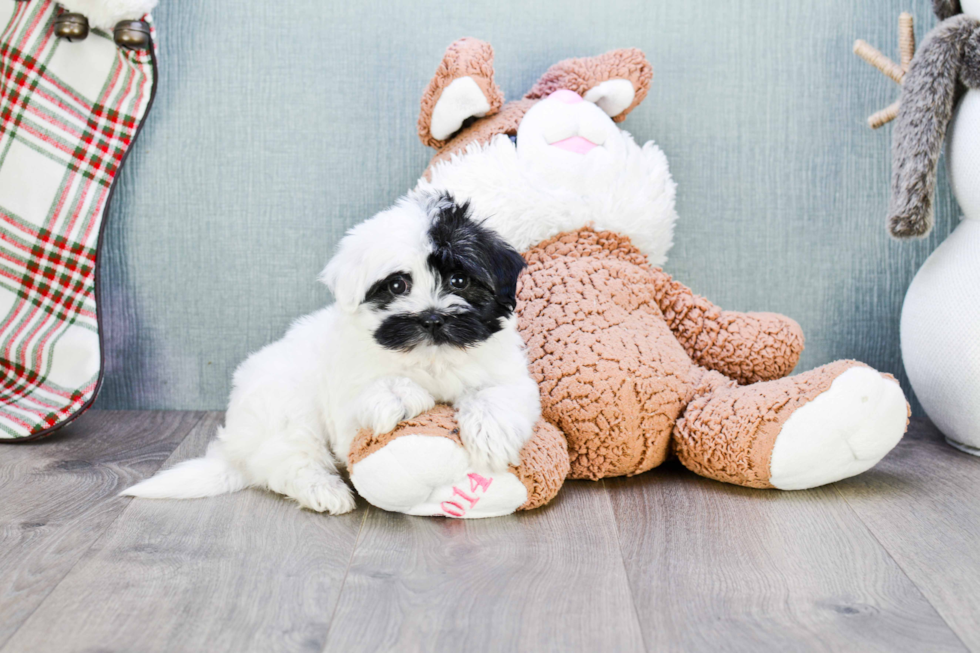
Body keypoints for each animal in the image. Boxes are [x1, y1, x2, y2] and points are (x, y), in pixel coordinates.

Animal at [124, 191, 544, 512]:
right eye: (396, 286)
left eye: (458, 280)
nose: (431, 318)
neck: (430, 357)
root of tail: (235, 452)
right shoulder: (347, 407)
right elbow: (377, 394)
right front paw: (399, 397)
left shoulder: (508, 373)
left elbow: (497, 394)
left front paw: (490, 434)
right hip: (284, 411)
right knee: (291, 462)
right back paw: (324, 490)